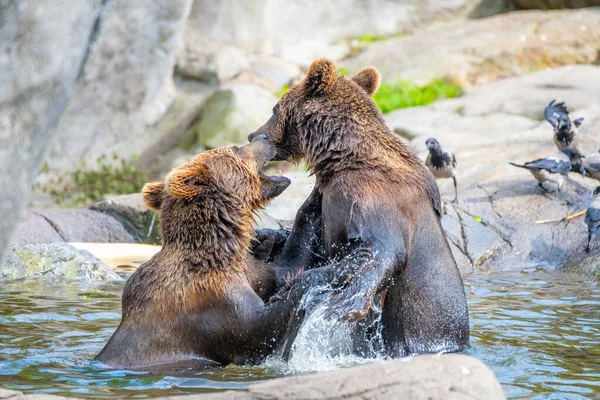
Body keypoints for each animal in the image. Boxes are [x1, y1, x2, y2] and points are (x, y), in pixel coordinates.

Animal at [95, 136, 368, 368]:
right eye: (236, 149)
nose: (262, 137)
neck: (220, 250)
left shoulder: (248, 273)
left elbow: (282, 270)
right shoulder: (210, 301)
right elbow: (258, 331)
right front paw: (349, 263)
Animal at [248, 58, 468, 356]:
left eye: (274, 108)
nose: (253, 135)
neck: (341, 158)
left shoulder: (368, 200)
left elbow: (381, 250)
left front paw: (340, 305)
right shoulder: (325, 204)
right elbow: (303, 244)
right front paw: (266, 239)